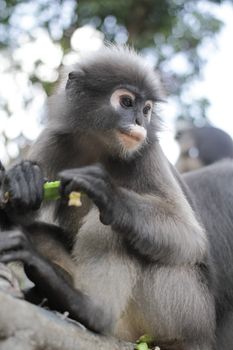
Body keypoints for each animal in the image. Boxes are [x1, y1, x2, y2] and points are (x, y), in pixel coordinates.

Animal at [0, 47, 233, 350]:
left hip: (180, 307)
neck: (99, 144)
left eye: (146, 110)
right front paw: (22, 179)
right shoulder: (55, 138)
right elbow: (21, 211)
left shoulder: (148, 151)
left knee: (112, 226)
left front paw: (108, 193)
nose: (140, 121)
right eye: (126, 102)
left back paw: (91, 310)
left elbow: (189, 237)